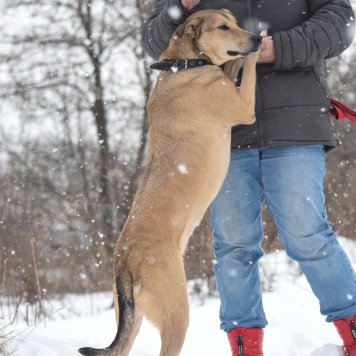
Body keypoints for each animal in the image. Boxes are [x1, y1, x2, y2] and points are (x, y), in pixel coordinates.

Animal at [78, 7, 262, 356]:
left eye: (233, 22)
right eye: (223, 27)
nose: (256, 37)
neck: (184, 63)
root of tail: (124, 261)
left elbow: (232, 66)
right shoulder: (244, 107)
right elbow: (246, 70)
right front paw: (259, 51)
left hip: (132, 321)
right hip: (177, 313)